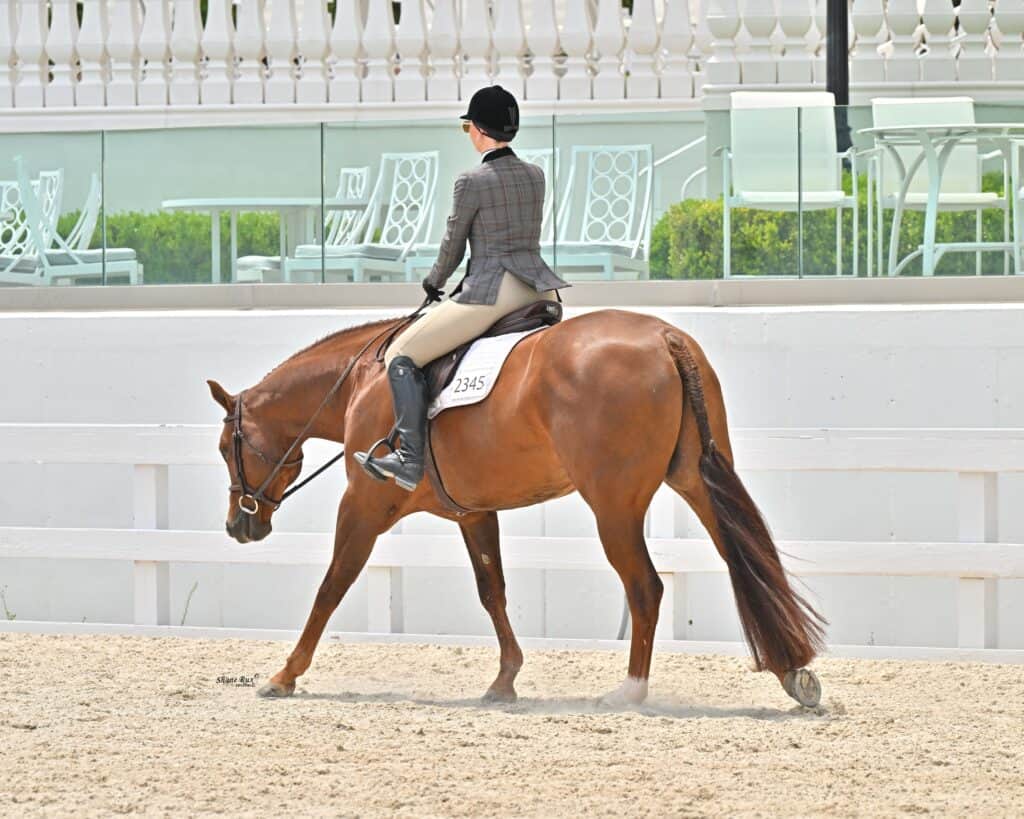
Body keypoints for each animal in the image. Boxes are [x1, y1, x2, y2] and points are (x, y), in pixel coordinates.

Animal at [207, 307, 828, 708]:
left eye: (223, 449)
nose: (238, 526)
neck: (363, 381)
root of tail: (665, 336)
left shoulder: (363, 504)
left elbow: (331, 586)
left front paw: (284, 676)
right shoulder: (474, 513)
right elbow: (493, 591)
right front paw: (504, 682)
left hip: (614, 507)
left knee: (646, 587)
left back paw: (630, 690)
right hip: (697, 481)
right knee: (748, 563)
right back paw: (794, 674)